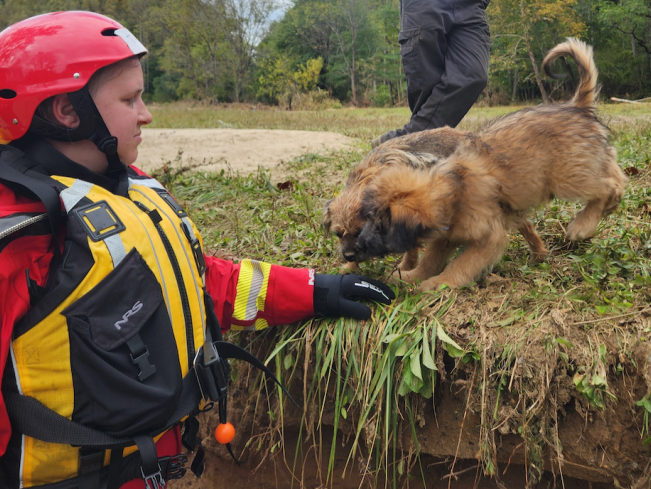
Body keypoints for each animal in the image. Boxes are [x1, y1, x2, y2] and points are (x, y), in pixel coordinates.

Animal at [332, 40, 628, 290]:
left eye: (377, 226)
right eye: (362, 223)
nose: (351, 253)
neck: (454, 188)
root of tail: (576, 106)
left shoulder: (489, 238)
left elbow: (461, 264)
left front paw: (437, 284)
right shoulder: (446, 237)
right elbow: (429, 260)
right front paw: (410, 276)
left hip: (567, 178)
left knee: (608, 185)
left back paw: (583, 225)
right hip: (580, 166)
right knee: (615, 173)